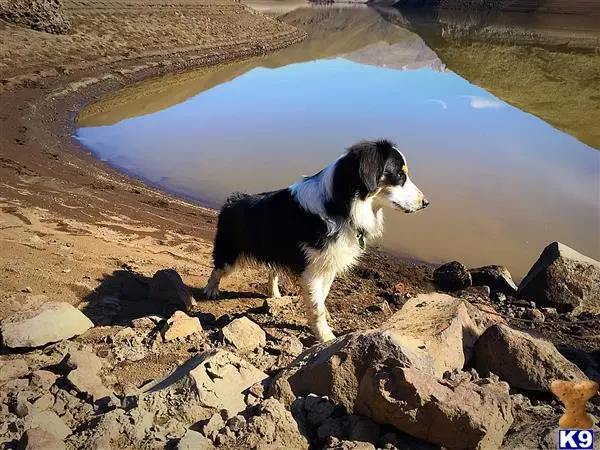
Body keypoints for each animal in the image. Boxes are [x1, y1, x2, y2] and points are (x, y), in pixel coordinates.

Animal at [204, 140, 428, 342]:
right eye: (399, 175)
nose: (426, 203)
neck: (341, 206)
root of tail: (233, 199)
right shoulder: (311, 270)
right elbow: (316, 307)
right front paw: (326, 337)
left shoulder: (328, 264)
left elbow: (322, 296)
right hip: (229, 251)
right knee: (218, 268)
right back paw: (211, 290)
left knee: (272, 270)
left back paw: (274, 293)